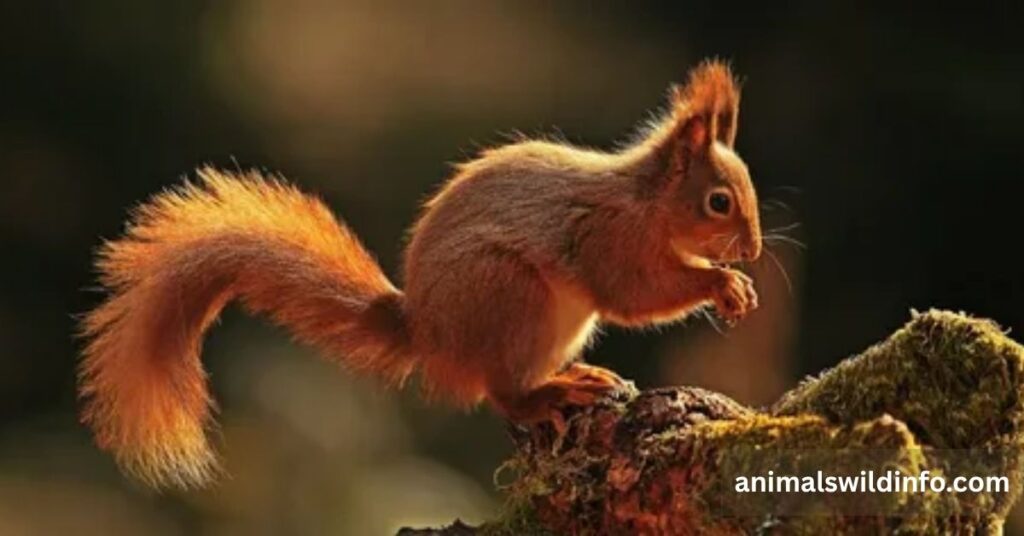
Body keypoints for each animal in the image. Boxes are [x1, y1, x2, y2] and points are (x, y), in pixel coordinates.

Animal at [78, 60, 761, 488]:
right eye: (718, 202)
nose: (753, 250)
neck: (645, 203)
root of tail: (430, 336)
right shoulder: (608, 239)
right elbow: (634, 294)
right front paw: (720, 283)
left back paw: (572, 376)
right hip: (510, 297)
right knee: (503, 394)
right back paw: (554, 392)